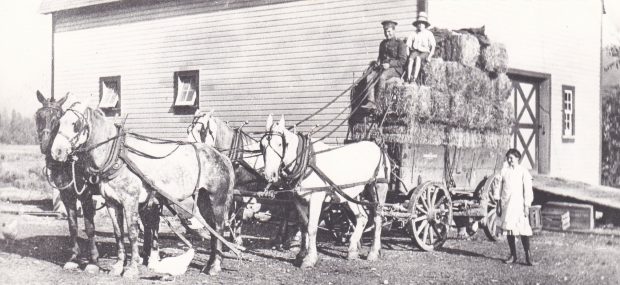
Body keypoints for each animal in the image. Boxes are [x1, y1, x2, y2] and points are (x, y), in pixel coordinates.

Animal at [35, 91, 101, 272]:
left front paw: (93, 261)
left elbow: (90, 227)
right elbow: (73, 225)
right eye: (38, 116)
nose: (48, 148)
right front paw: (74, 258)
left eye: (57, 119)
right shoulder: (66, 194)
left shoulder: (86, 195)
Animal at [49, 102, 235, 278]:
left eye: (75, 124)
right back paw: (209, 264)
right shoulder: (111, 202)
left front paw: (131, 269)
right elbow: (118, 233)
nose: (57, 152)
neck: (118, 156)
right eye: (59, 123)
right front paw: (118, 267)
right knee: (212, 230)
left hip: (217, 200)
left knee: (219, 228)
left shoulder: (130, 201)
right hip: (204, 200)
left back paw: (215, 266)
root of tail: (222, 156)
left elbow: (132, 233)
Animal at [260, 113, 390, 266]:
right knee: (362, 217)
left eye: (280, 144)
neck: (306, 160)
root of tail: (377, 147)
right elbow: (303, 226)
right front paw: (301, 254)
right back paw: (352, 250)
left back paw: (373, 252)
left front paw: (310, 259)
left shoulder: (316, 197)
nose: (270, 175)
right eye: (262, 145)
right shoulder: (298, 199)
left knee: (377, 218)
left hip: (378, 188)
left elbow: (311, 227)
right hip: (351, 193)